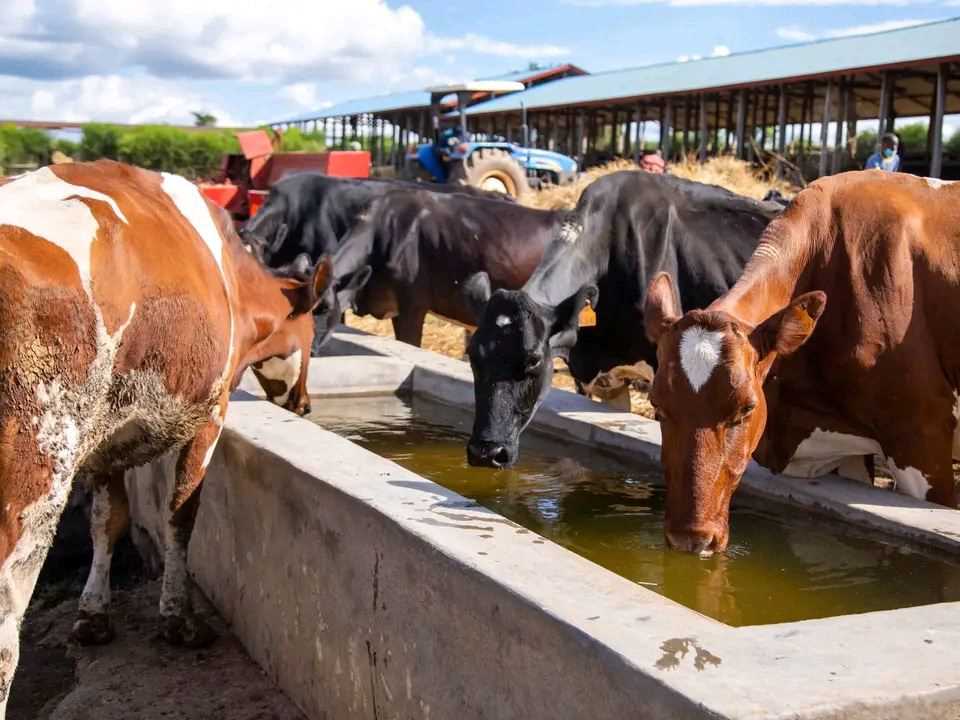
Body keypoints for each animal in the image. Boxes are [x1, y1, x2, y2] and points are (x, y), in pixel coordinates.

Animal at [0, 159, 332, 708]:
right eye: (310, 337)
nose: (305, 404)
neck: (232, 278)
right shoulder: (211, 412)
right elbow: (181, 515)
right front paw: (179, 620)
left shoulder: (104, 434)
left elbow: (107, 520)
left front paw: (93, 615)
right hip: (36, 469)